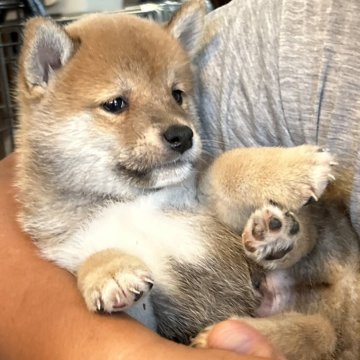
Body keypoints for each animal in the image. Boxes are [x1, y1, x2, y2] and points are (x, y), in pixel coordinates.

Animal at [14, 1, 360, 358]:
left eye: (177, 95)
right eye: (115, 104)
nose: (183, 135)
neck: (130, 200)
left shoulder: (205, 201)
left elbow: (223, 170)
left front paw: (293, 165)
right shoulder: (142, 307)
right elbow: (100, 260)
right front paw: (109, 271)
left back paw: (275, 235)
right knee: (315, 333)